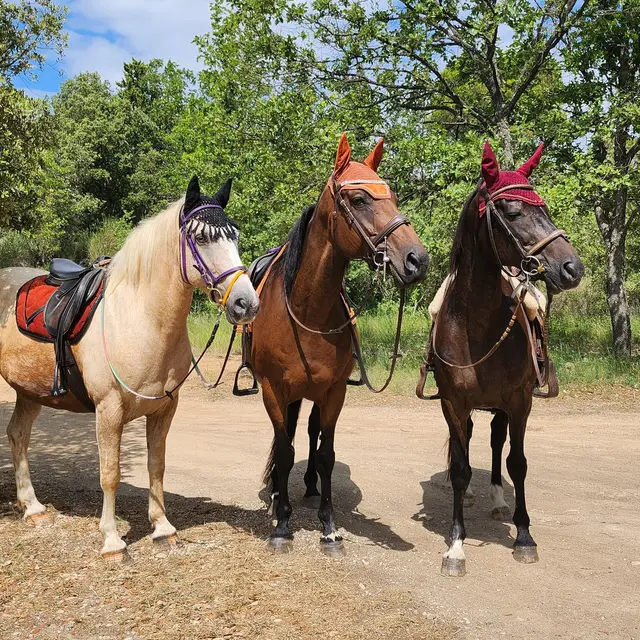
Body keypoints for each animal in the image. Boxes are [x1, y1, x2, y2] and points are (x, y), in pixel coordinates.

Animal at [0, 176, 259, 560]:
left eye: (235, 236)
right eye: (200, 238)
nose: (246, 303)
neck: (141, 319)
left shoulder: (165, 408)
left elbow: (157, 465)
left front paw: (163, 529)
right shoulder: (108, 410)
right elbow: (110, 473)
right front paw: (111, 541)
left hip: (30, 391)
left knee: (18, 435)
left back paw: (33, 509)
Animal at [250, 133, 429, 555]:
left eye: (393, 196)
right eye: (360, 199)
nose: (416, 259)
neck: (307, 312)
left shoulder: (333, 392)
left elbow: (327, 454)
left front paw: (329, 527)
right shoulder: (273, 390)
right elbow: (284, 450)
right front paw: (282, 525)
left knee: (310, 434)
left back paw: (310, 489)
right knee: (287, 442)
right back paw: (278, 498)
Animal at [428, 141, 584, 577]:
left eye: (544, 208)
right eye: (513, 213)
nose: (572, 267)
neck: (477, 324)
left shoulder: (519, 401)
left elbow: (517, 462)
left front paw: (524, 536)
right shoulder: (453, 402)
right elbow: (460, 468)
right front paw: (455, 546)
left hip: (502, 406)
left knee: (497, 442)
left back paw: (499, 501)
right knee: (466, 443)